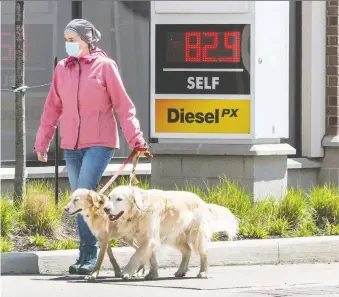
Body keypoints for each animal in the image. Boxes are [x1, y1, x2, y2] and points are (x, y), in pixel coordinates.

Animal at [105, 185, 240, 280]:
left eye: (119, 199)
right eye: (109, 197)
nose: (106, 209)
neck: (139, 210)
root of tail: (203, 202)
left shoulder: (149, 238)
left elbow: (135, 256)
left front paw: (127, 272)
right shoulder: (149, 239)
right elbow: (151, 258)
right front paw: (153, 274)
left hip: (195, 235)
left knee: (203, 253)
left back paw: (203, 272)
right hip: (174, 236)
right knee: (187, 250)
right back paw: (181, 271)